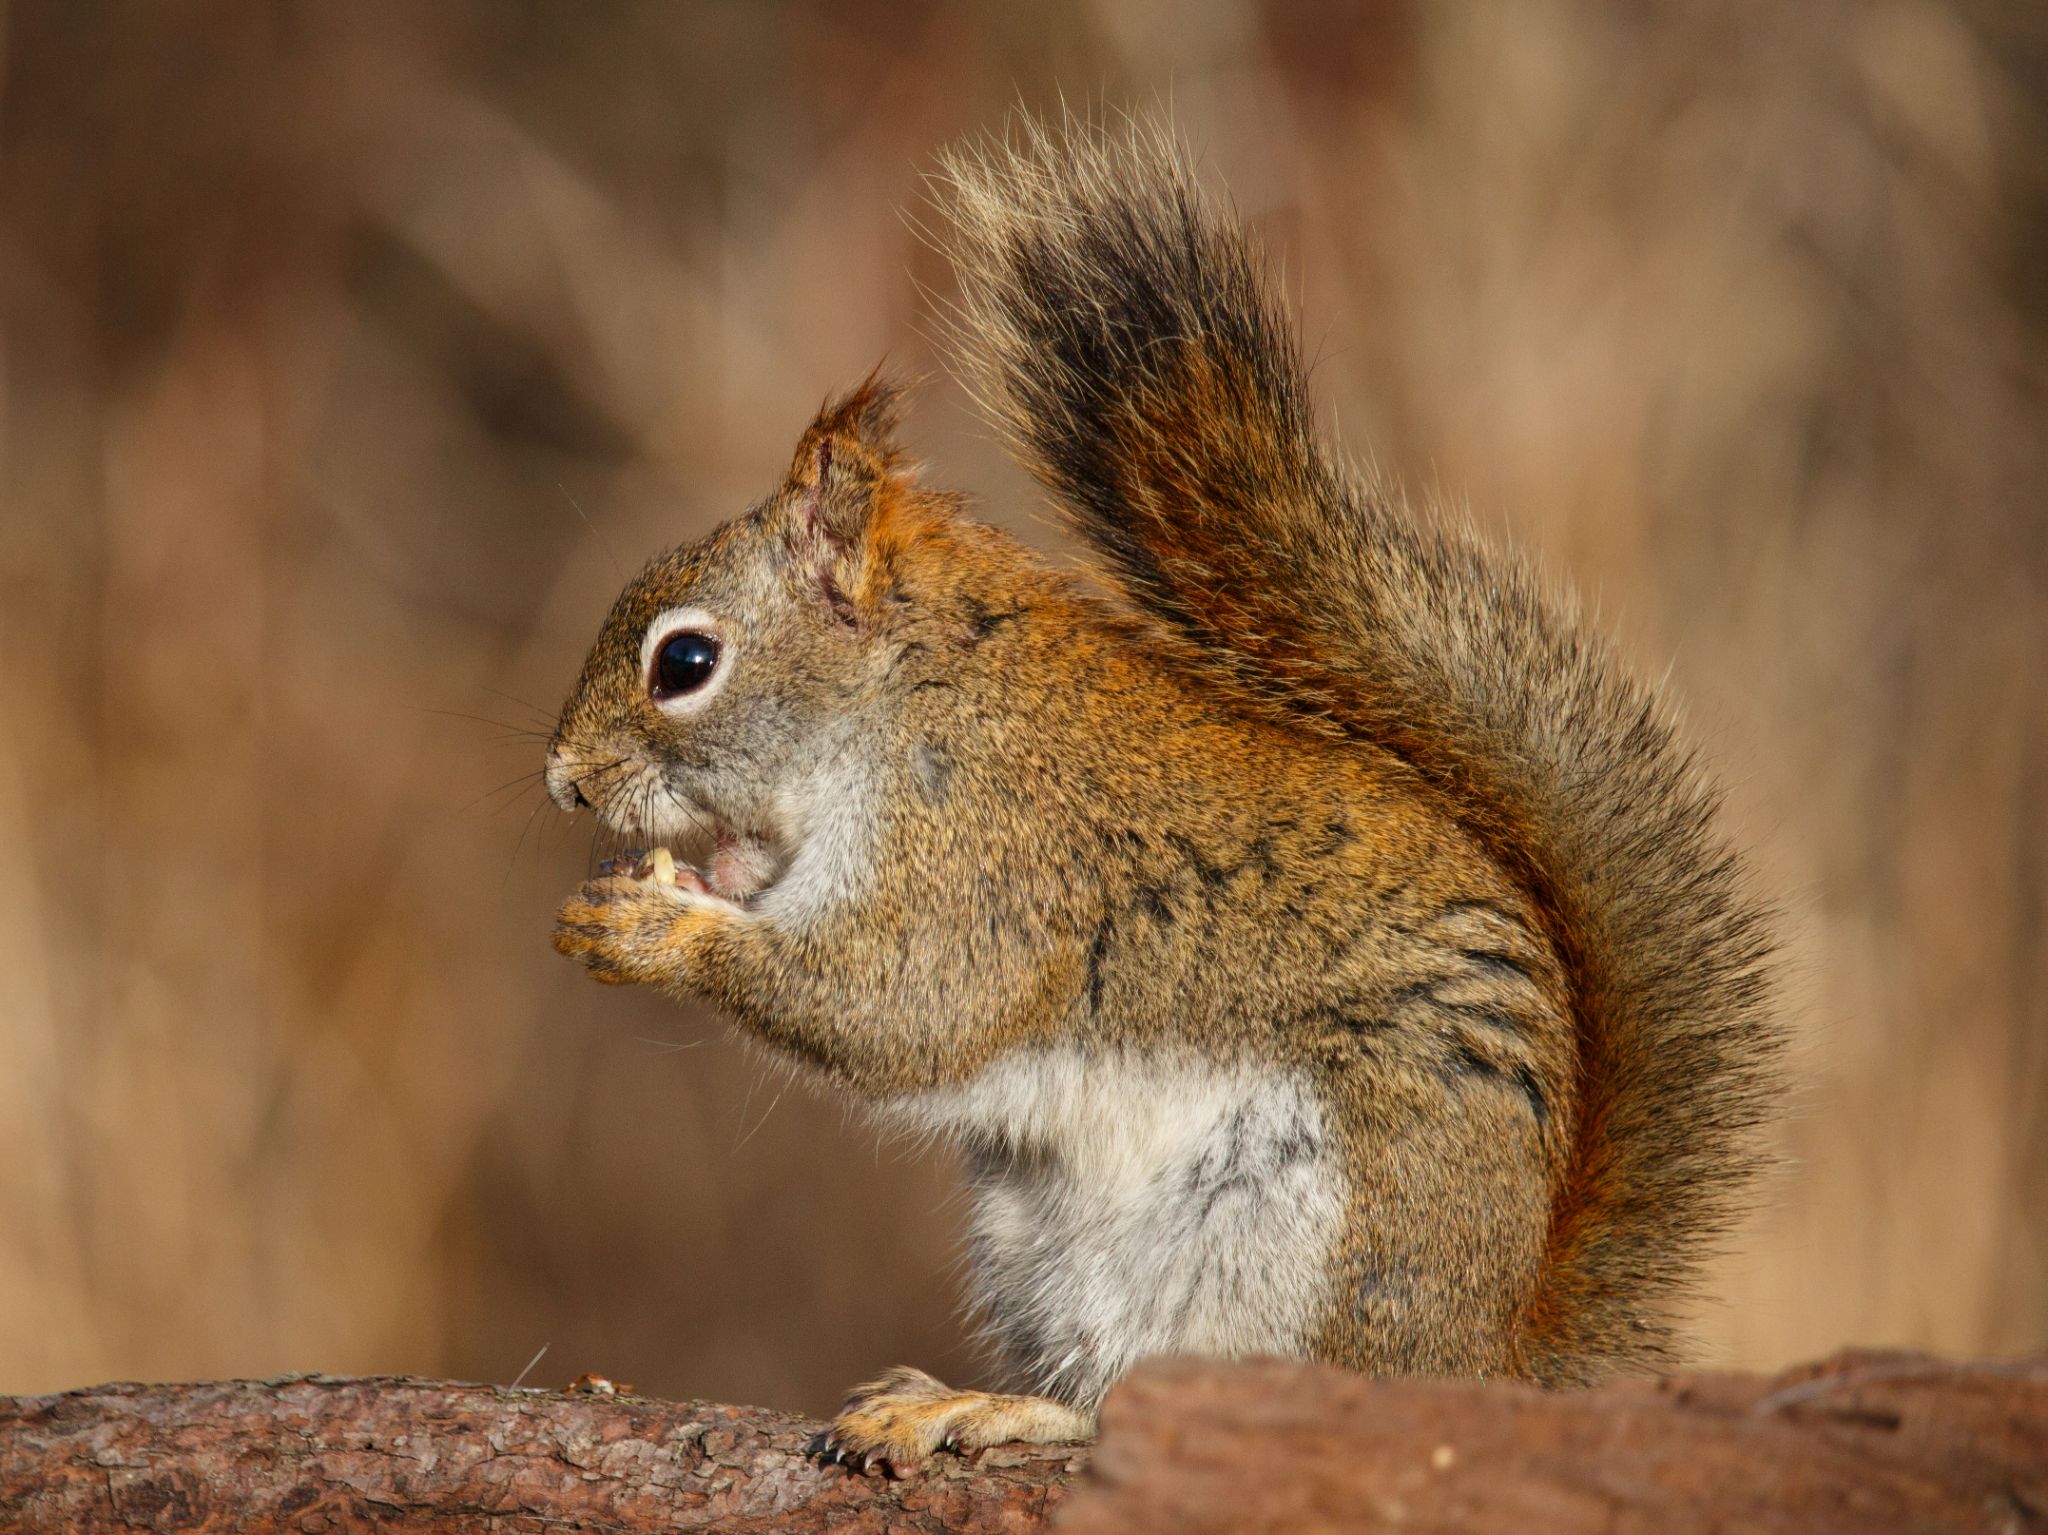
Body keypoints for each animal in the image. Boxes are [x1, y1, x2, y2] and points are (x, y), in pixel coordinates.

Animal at [544, 119, 1778, 1476]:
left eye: (683, 662)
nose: (562, 781)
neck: (900, 702)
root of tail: (1479, 1359)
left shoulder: (991, 853)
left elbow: (898, 1004)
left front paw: (655, 929)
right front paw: (685, 884)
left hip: (1281, 1238)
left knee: (1170, 1391)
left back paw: (987, 1409)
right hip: (1041, 1244)